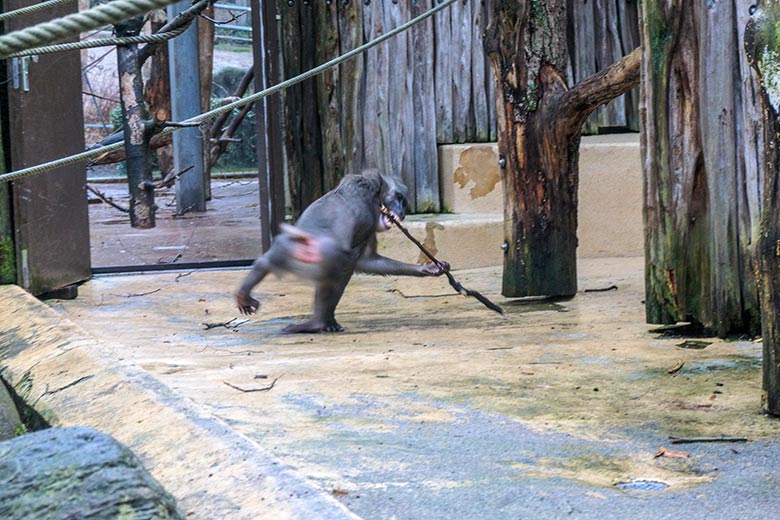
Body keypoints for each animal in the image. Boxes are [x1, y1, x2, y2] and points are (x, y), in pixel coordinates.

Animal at [235, 169, 448, 336]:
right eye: (400, 199)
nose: (402, 213)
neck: (373, 191)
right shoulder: (367, 215)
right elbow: (352, 258)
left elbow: (367, 261)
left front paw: (429, 268)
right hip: (314, 260)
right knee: (338, 272)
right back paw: (318, 323)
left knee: (269, 260)